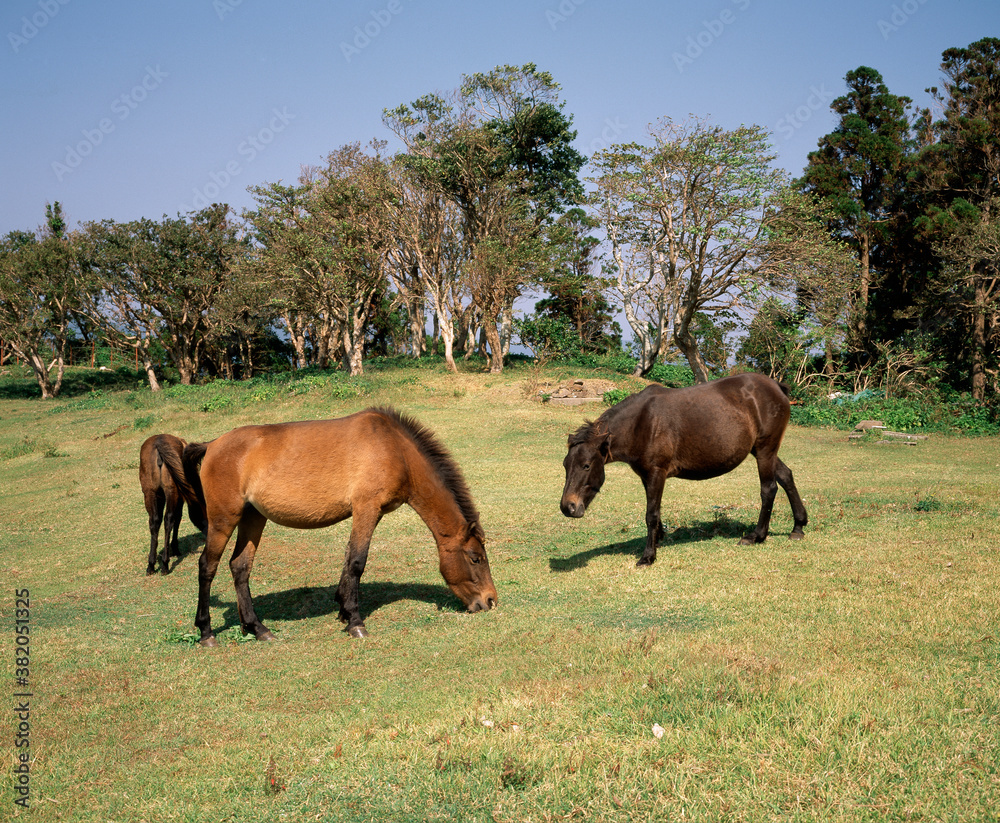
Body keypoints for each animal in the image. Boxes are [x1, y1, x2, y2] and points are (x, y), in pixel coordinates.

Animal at [139, 434, 207, 575]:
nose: (208, 531)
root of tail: (159, 444)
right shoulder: (180, 497)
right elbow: (177, 518)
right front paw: (175, 549)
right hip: (172, 491)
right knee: (169, 519)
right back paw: (165, 564)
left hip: (150, 492)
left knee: (154, 522)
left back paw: (151, 565)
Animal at [181, 407, 498, 647]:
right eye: (475, 558)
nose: (490, 600)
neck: (394, 449)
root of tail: (212, 444)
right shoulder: (366, 509)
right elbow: (357, 562)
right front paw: (356, 622)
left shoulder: (370, 513)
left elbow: (348, 560)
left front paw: (344, 611)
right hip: (224, 520)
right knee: (207, 567)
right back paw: (206, 633)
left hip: (253, 518)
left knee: (240, 567)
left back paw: (257, 628)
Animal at [560, 373, 807, 566]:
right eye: (565, 465)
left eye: (586, 465)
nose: (567, 507)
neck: (641, 423)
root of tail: (776, 387)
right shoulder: (647, 476)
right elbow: (656, 511)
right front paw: (659, 539)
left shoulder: (656, 473)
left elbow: (651, 514)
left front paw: (648, 556)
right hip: (762, 451)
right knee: (786, 476)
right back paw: (798, 527)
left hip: (765, 450)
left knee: (769, 489)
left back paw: (757, 536)